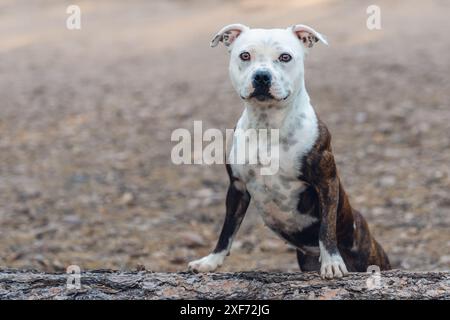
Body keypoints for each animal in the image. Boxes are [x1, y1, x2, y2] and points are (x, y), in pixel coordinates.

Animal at [186, 23, 390, 278]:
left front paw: (332, 262)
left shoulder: (326, 181)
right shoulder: (237, 187)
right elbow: (227, 230)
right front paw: (210, 261)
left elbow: (327, 227)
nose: (262, 76)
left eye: (285, 57)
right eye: (245, 55)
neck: (268, 125)